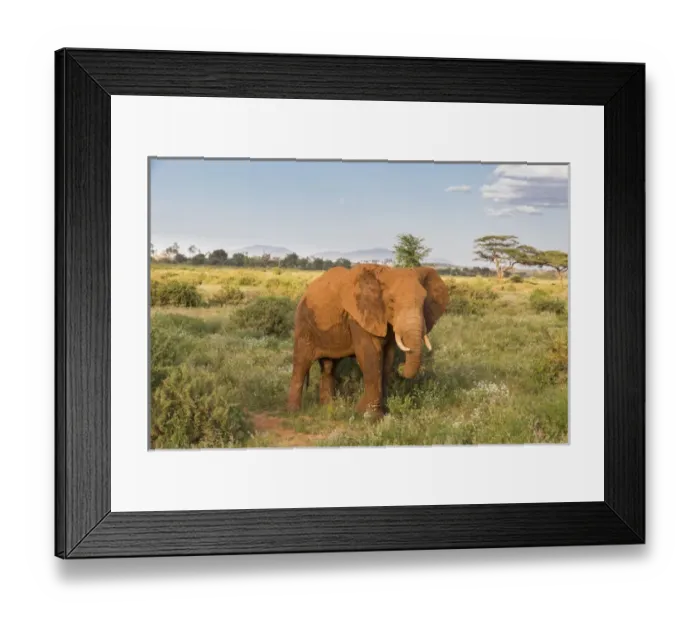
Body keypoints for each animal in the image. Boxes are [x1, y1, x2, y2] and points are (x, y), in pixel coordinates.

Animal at [286, 264, 449, 418]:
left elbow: (387, 358)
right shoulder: (359, 316)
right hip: (304, 323)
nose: (402, 367)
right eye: (391, 301)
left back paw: (328, 407)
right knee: (301, 362)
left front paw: (374, 411)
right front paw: (370, 416)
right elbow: (371, 354)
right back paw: (294, 411)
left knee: (328, 366)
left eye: (424, 302)